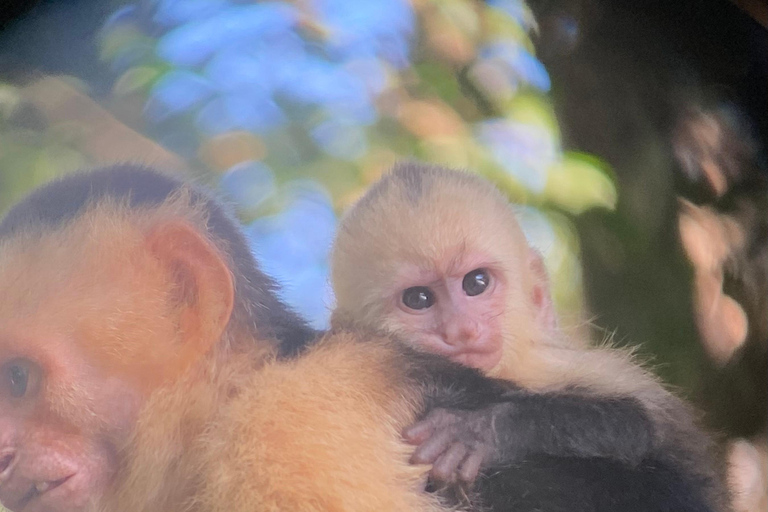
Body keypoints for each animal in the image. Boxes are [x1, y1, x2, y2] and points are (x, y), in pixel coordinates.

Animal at [332, 162, 732, 510]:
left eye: (476, 283)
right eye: (419, 299)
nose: (461, 329)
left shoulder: (554, 363)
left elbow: (637, 424)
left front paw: (482, 431)